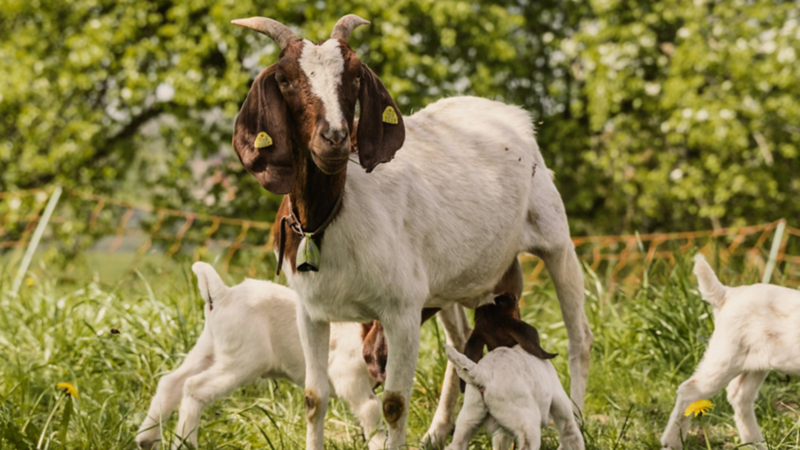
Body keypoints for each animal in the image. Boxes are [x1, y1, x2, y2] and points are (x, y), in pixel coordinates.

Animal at [136, 262, 386, 450]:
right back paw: (184, 444)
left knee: (171, 382)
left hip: (208, 349)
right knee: (194, 387)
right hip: (242, 362)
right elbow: (372, 411)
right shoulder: (351, 380)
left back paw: (146, 439)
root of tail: (223, 294)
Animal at [445, 345, 585, 450]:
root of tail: (482, 373)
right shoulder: (563, 410)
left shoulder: (503, 432)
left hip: (469, 417)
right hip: (528, 425)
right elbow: (573, 437)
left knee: (455, 445)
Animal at [661, 254, 800, 450]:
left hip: (755, 365)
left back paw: (755, 443)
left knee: (739, 396)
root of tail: (727, 294)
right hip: (725, 357)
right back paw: (671, 442)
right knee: (689, 390)